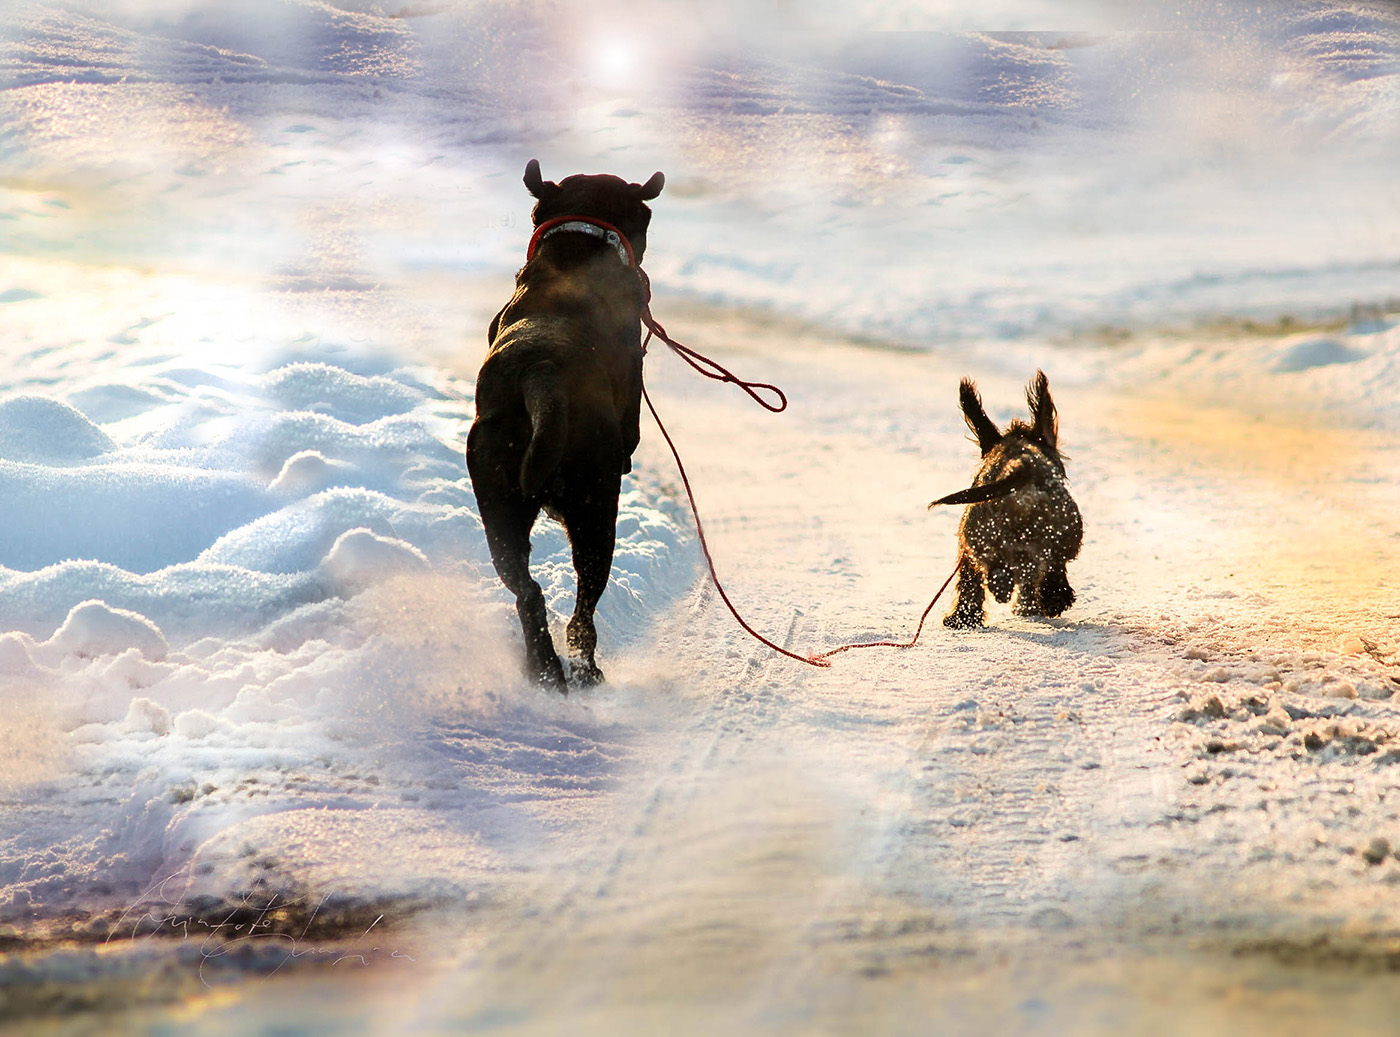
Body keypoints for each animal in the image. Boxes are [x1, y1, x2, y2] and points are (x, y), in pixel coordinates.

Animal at [467, 159, 663, 688]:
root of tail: (541, 371)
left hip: (499, 511)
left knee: (527, 592)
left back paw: (544, 668)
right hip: (597, 516)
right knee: (582, 613)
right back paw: (583, 669)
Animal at [929, 372, 1080, 629]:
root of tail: (1020, 464)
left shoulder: (967, 547)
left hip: (978, 534)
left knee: (998, 570)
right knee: (1050, 568)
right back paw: (1050, 599)